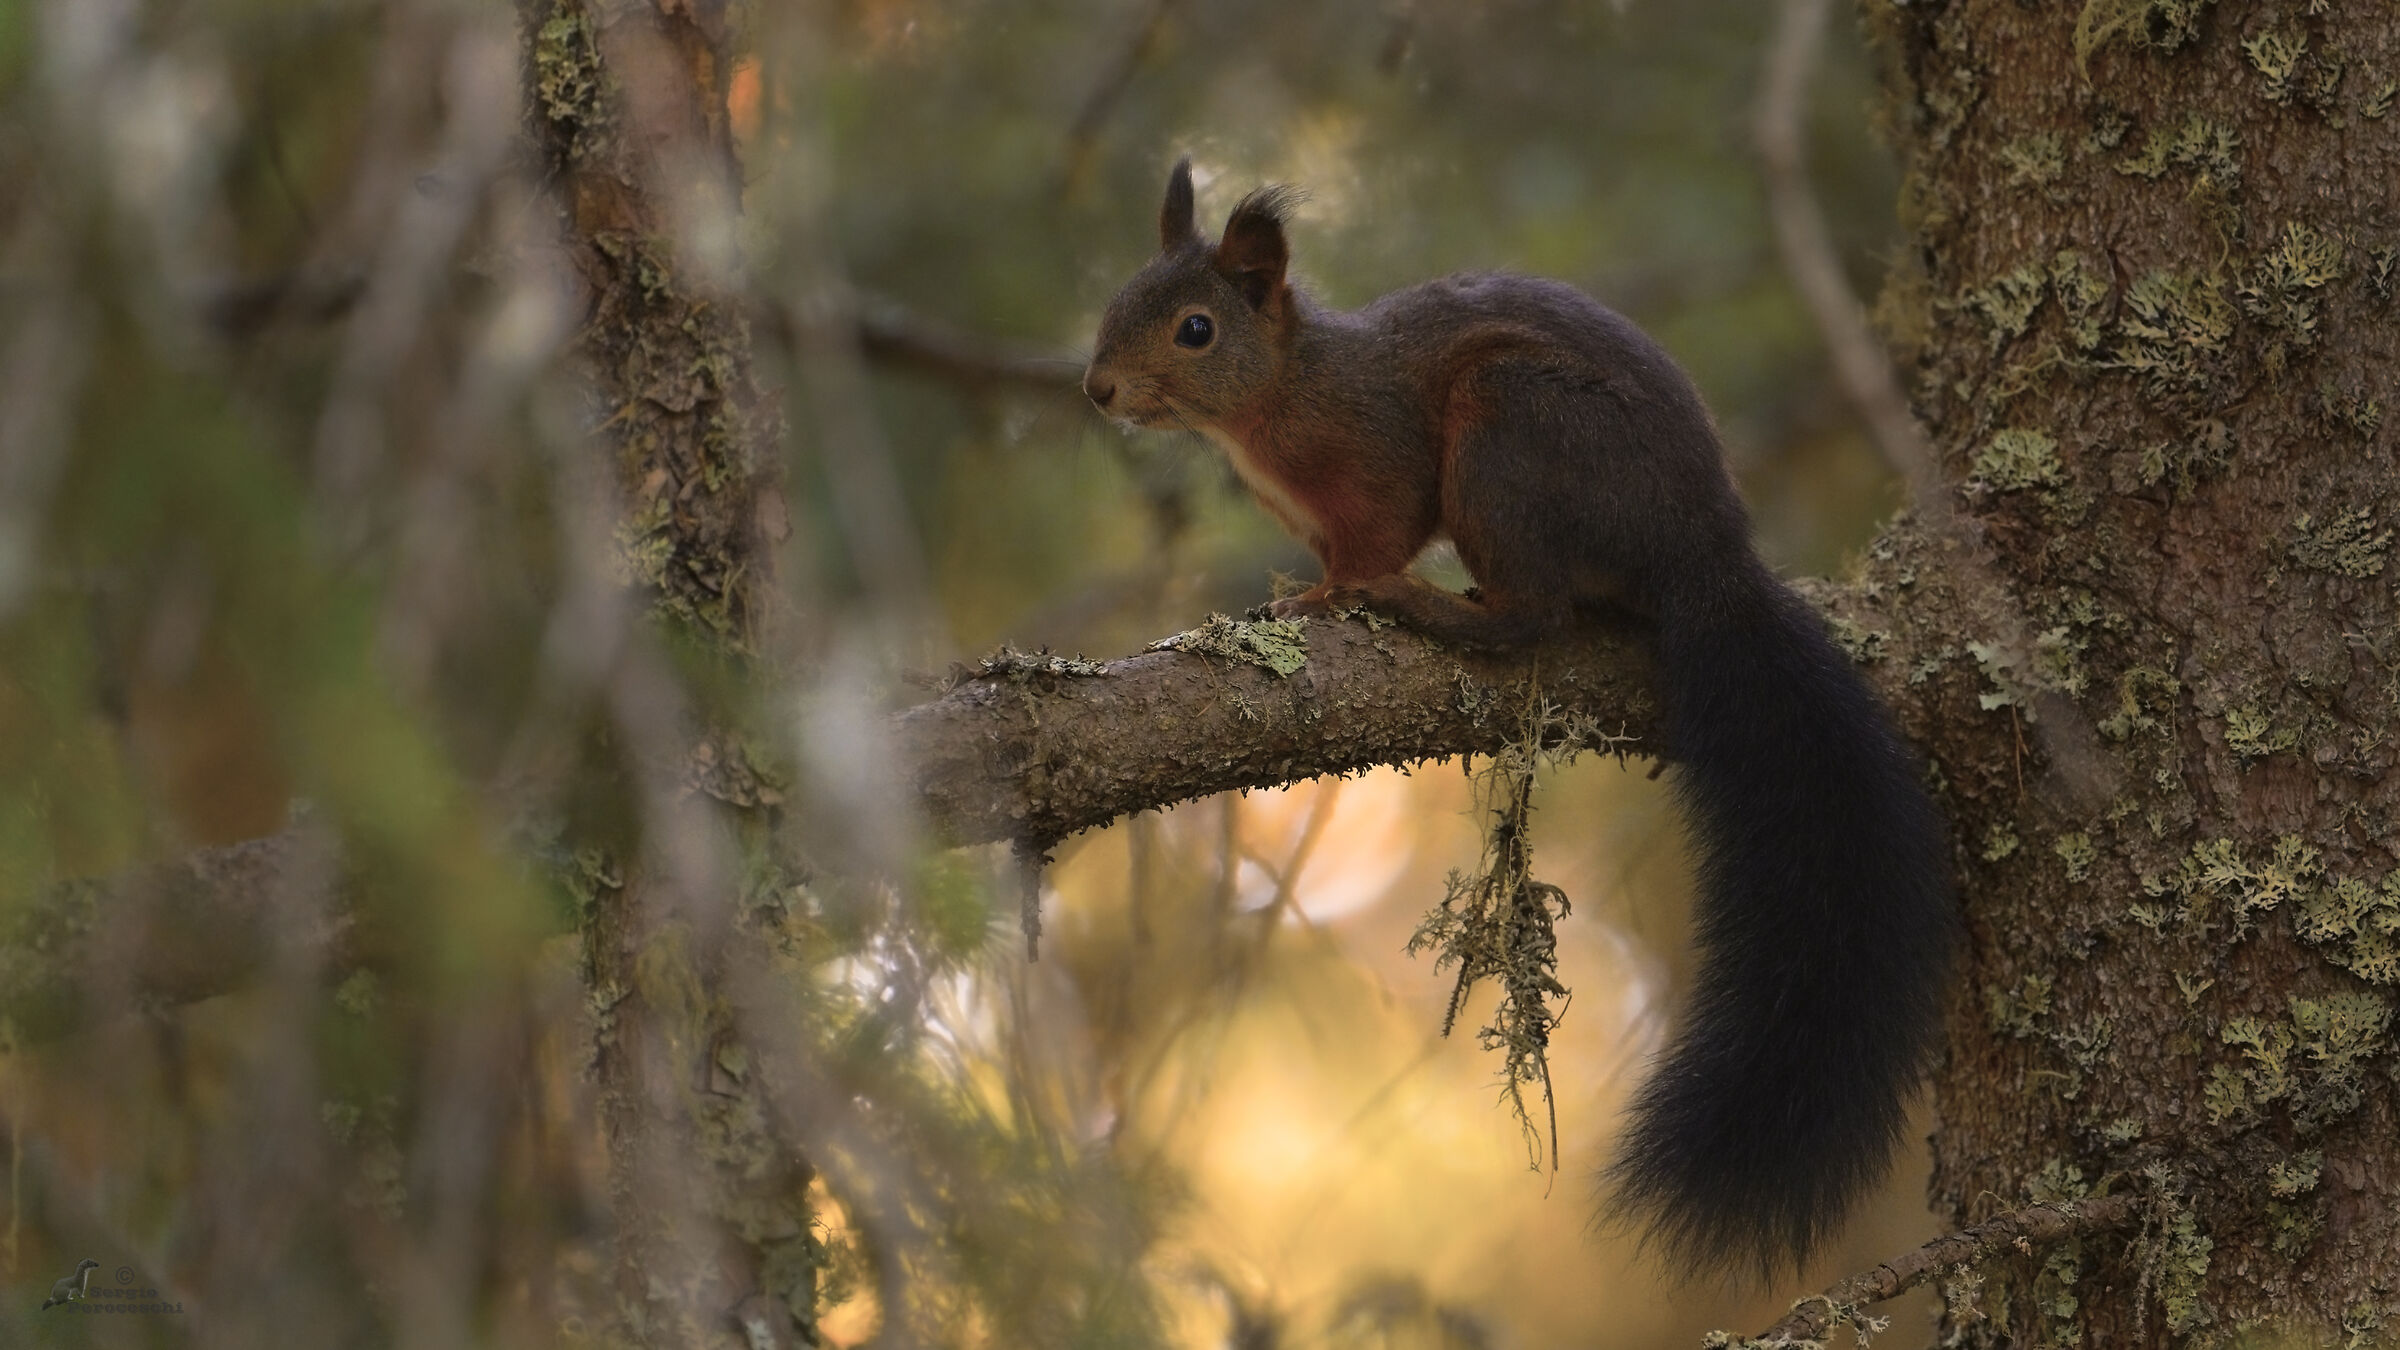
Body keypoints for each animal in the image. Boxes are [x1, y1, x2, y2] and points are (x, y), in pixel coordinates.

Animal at [1081, 160, 1957, 1278]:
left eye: (1194, 329)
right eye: (1118, 299)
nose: (1098, 387)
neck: (1283, 391)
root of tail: (1706, 552)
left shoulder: (1384, 465)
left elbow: (1371, 540)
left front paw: (1324, 599)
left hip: (1512, 433)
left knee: (1535, 614)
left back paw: (1435, 608)